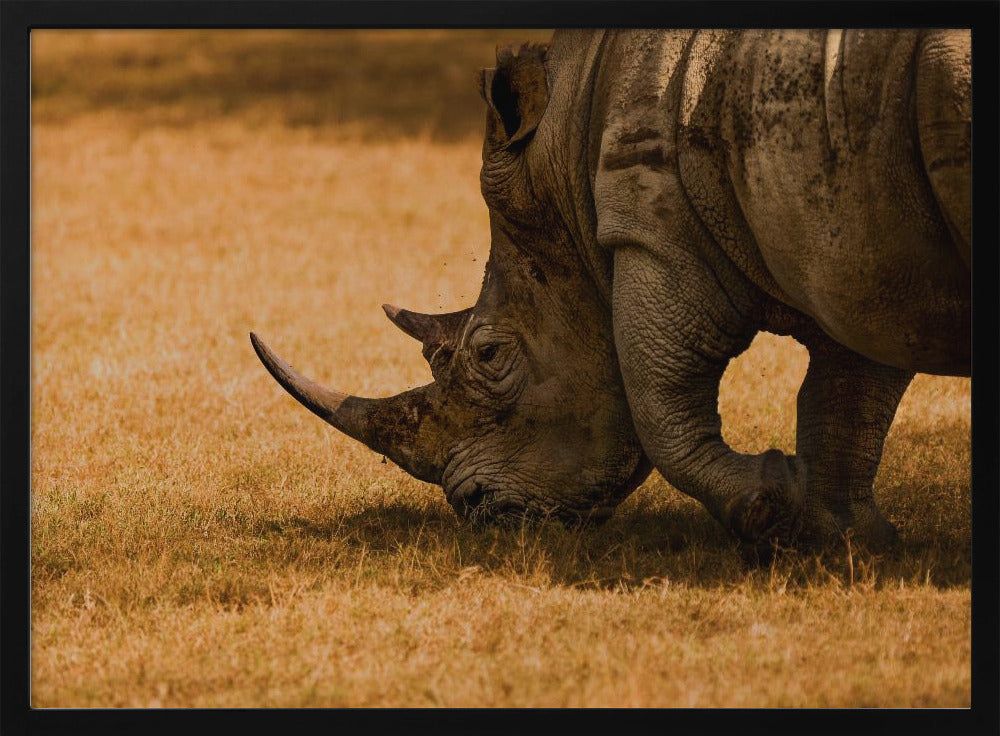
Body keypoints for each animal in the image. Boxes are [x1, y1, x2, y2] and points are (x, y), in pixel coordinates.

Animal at [251, 29, 971, 551]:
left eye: (488, 355)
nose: (478, 511)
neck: (563, 152)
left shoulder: (652, 230)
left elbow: (659, 394)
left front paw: (772, 508)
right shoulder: (853, 243)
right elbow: (848, 393)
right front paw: (841, 538)